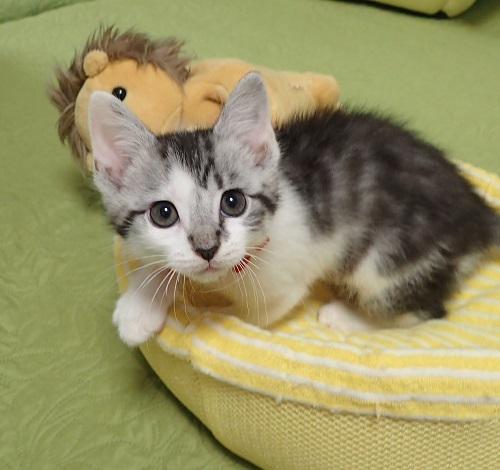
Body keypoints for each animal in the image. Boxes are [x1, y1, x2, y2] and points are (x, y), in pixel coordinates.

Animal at [88, 72, 500, 346]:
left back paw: (347, 316)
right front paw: (140, 305)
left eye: (233, 202)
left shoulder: (286, 286)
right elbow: (166, 265)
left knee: (425, 312)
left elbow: (250, 320)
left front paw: (213, 318)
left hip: (387, 260)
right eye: (163, 214)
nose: (207, 249)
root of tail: (476, 211)